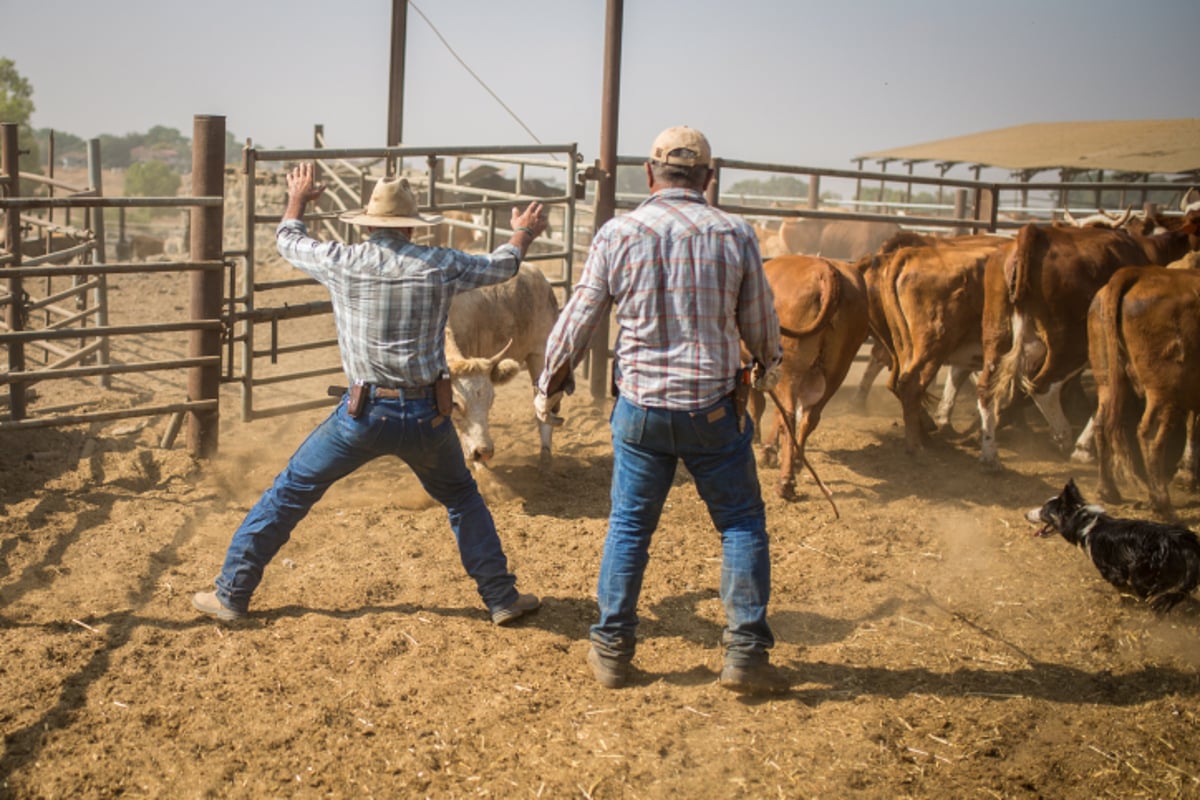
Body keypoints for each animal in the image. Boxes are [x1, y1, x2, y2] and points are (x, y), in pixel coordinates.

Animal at [744, 255, 868, 501]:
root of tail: (825, 269)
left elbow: (757, 405)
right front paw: (769, 450)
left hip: (789, 368)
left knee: (790, 416)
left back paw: (785, 482)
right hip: (837, 370)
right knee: (809, 417)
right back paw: (796, 461)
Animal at [1089, 263, 1200, 513]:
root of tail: (1137, 272)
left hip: (1107, 381)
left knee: (1100, 423)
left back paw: (1107, 490)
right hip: (1164, 391)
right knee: (1150, 433)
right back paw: (1159, 500)